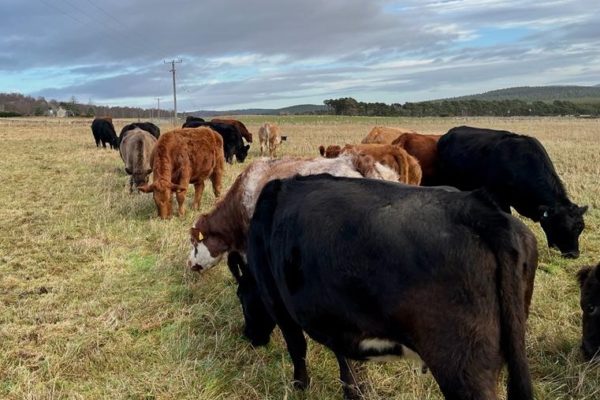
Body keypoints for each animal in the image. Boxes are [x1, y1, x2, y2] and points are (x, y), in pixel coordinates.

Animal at [231, 175, 540, 400]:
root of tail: (478, 208)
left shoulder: (278, 304)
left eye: (242, 298)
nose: (250, 337)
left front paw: (299, 387)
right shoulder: (338, 320)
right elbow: (347, 364)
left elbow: (297, 348)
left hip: (462, 366)